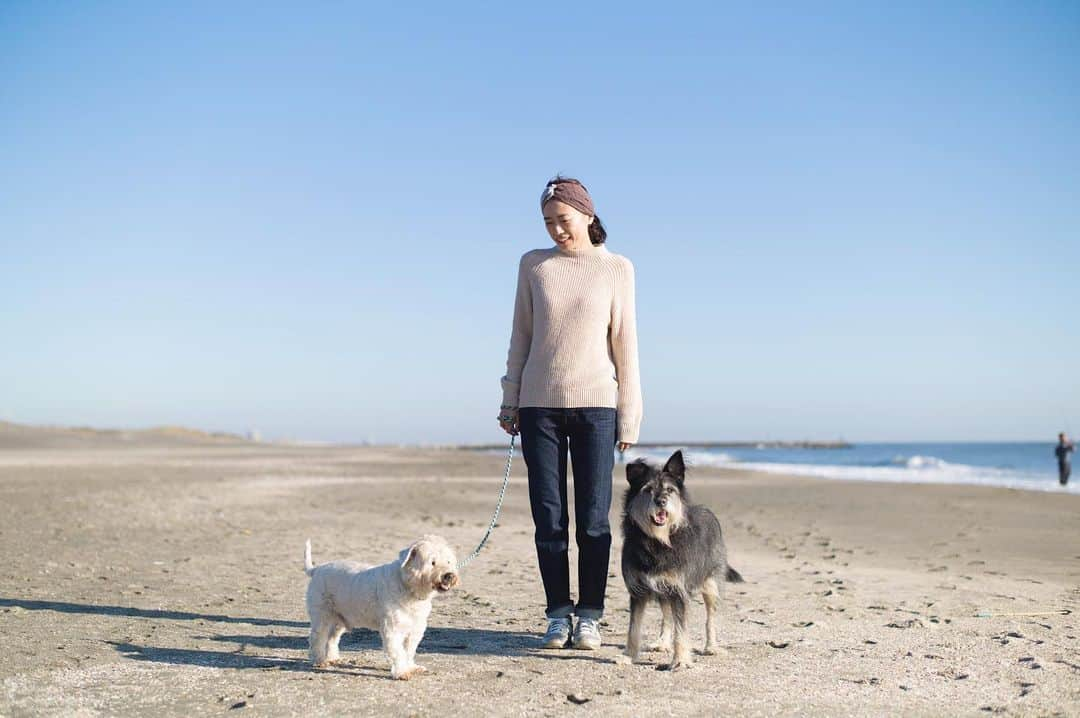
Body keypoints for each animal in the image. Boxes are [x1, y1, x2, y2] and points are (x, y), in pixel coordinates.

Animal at [302, 535, 457, 682]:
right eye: (432, 562)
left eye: (448, 561)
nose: (449, 575)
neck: (407, 586)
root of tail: (317, 569)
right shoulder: (392, 629)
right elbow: (399, 652)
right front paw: (402, 673)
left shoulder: (415, 629)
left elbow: (409, 651)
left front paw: (412, 667)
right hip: (322, 616)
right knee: (317, 637)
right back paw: (319, 660)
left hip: (340, 619)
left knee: (332, 638)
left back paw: (332, 658)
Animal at [617, 451, 743, 669]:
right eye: (648, 489)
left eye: (670, 490)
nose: (661, 502)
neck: (658, 540)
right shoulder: (639, 591)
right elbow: (634, 628)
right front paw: (628, 656)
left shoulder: (678, 590)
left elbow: (681, 629)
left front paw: (680, 660)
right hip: (663, 591)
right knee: (667, 617)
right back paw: (662, 642)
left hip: (711, 584)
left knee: (710, 619)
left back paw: (711, 646)